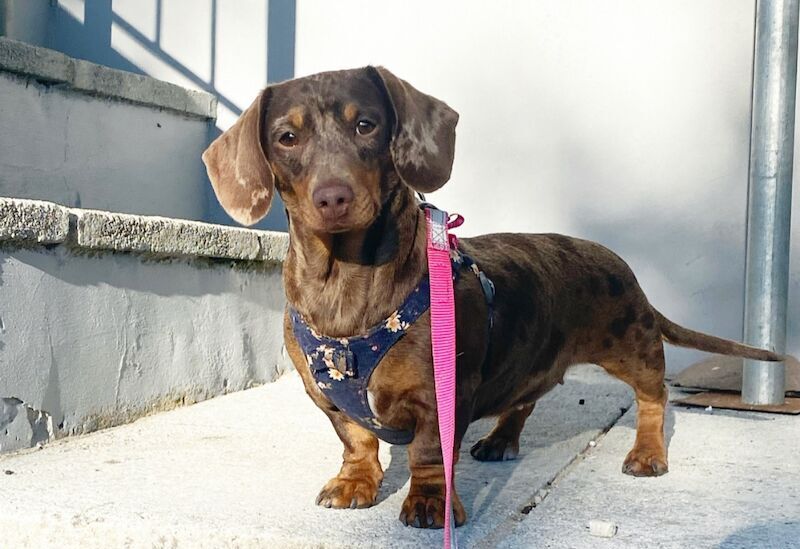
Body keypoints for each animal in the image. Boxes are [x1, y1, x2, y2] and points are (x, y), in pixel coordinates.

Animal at [202, 66, 780, 528]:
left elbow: (430, 455)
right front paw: (355, 483)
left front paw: (431, 505)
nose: (333, 197)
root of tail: (620, 263)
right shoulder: (326, 398)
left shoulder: (440, 393)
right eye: (287, 137)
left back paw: (647, 452)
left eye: (365, 125)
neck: (344, 280)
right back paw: (502, 439)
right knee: (525, 397)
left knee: (655, 395)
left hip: (631, 345)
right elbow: (356, 439)